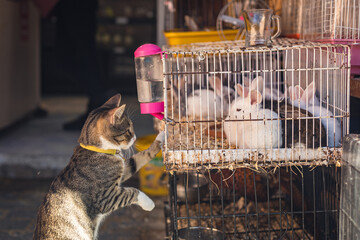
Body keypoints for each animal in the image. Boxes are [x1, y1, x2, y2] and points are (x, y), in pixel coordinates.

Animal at [32, 94, 165, 240]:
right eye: (128, 130)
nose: (135, 137)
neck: (100, 149)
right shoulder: (106, 198)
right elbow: (131, 192)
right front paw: (148, 203)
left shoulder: (122, 169)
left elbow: (139, 158)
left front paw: (160, 138)